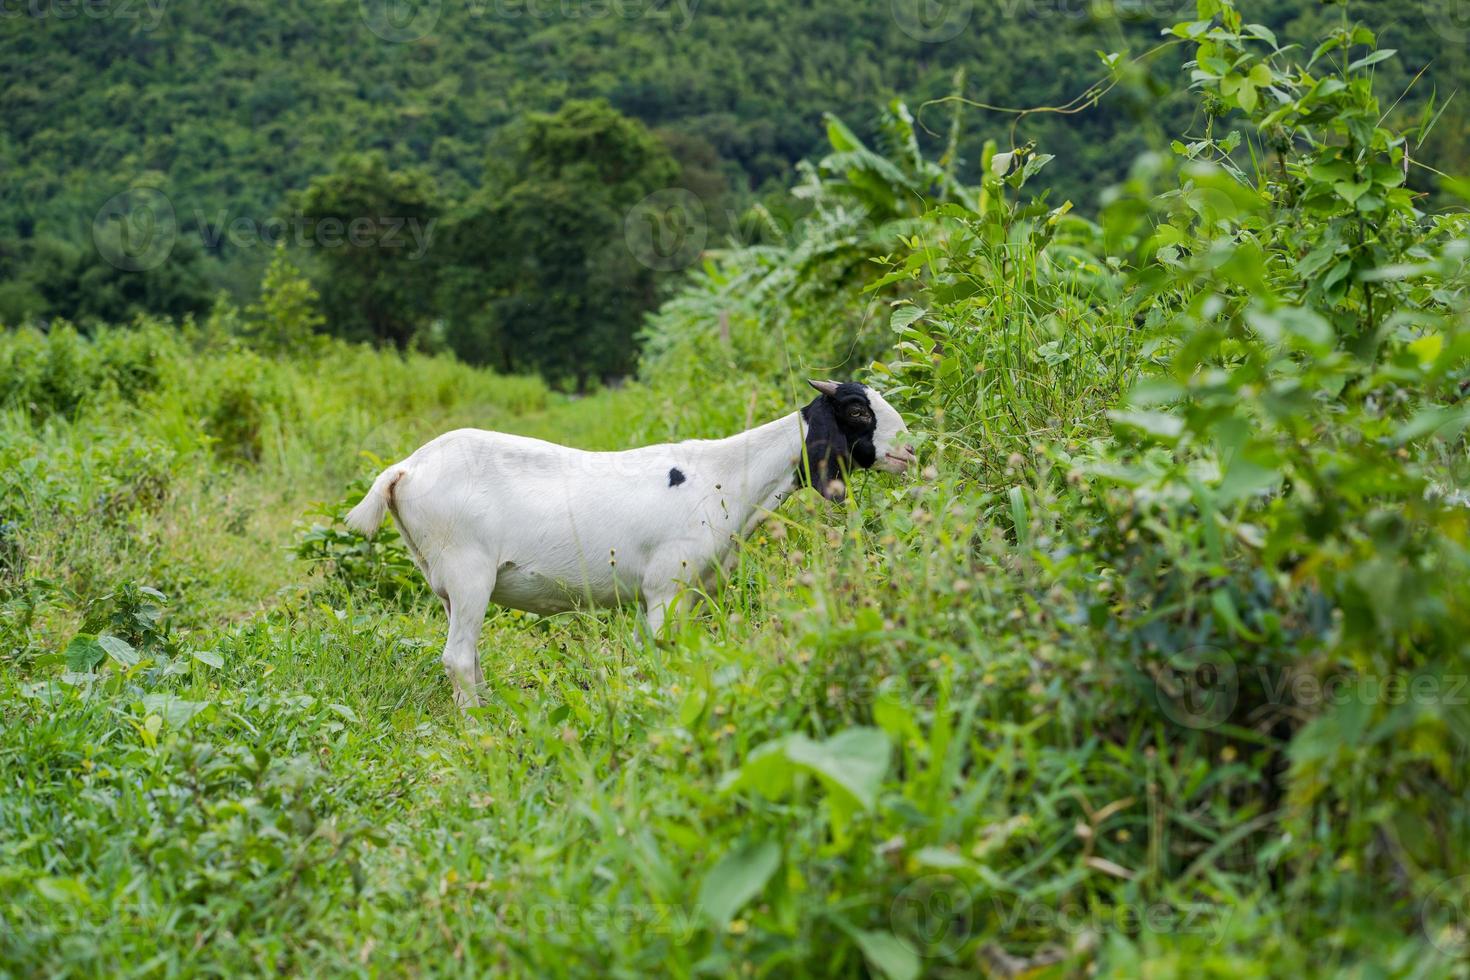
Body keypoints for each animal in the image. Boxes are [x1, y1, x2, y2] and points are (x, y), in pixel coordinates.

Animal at [348, 379, 911, 708]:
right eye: (858, 411)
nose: (908, 450)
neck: (730, 475)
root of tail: (404, 469)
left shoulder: (694, 590)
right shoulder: (666, 586)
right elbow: (661, 651)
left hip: (445, 581)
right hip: (469, 572)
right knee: (458, 658)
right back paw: (478, 727)